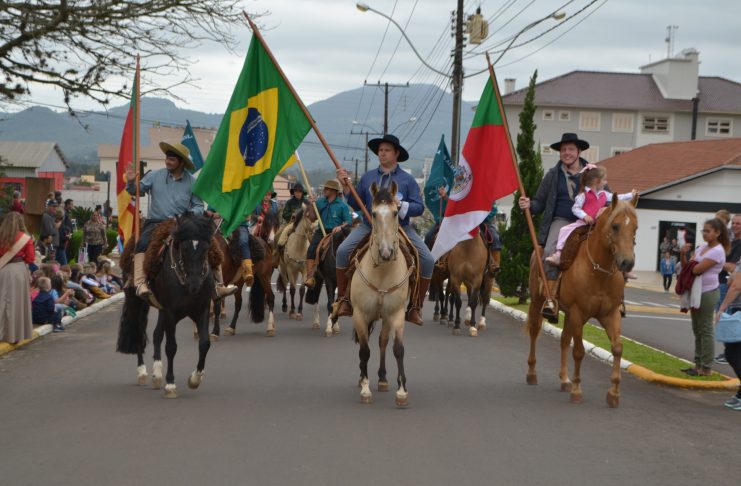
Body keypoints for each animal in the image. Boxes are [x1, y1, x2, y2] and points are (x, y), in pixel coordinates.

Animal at [117, 213, 218, 399]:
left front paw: (195, 378)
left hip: (162, 310)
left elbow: (204, 343)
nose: (195, 285)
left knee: (157, 334)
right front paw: (170, 384)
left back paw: (157, 374)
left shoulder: (202, 310)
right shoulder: (171, 312)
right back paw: (142, 372)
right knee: (137, 332)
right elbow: (171, 347)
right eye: (184, 248)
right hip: (137, 301)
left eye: (206, 249)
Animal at [350, 182, 414, 407]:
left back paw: (383, 378)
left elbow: (399, 349)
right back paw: (363, 378)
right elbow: (363, 351)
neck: (382, 273)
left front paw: (402, 392)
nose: (386, 253)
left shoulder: (396, 314)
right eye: (374, 213)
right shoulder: (359, 315)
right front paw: (365, 389)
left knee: (383, 341)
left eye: (395, 212)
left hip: (386, 317)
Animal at [525, 194, 638, 408]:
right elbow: (578, 351)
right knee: (535, 333)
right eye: (615, 226)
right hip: (538, 303)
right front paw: (577, 390)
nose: (627, 263)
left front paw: (614, 393)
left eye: (635, 227)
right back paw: (532, 373)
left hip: (569, 314)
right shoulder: (578, 312)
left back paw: (564, 380)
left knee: (564, 339)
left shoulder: (610, 314)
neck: (599, 272)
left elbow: (617, 348)